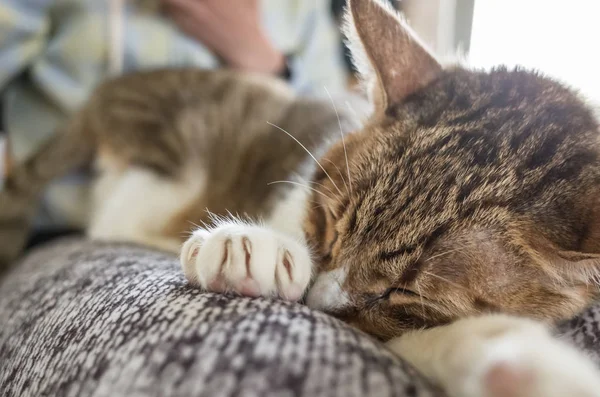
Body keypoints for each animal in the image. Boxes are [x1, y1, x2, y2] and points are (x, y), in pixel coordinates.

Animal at [1, 0, 600, 394]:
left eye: (402, 293)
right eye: (330, 223)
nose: (319, 305)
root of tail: (106, 94)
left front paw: (519, 365)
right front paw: (258, 249)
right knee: (113, 214)